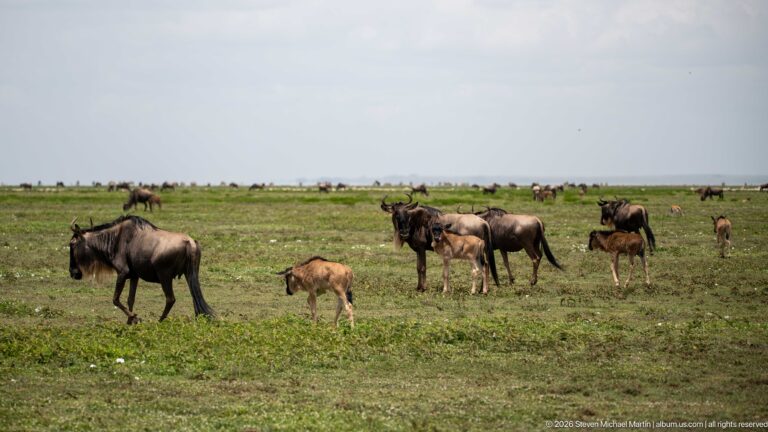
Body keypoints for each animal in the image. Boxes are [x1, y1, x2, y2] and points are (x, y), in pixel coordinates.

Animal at [68, 215, 215, 324]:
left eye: (72, 244)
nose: (73, 273)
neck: (115, 239)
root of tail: (190, 242)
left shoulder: (123, 273)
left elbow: (115, 299)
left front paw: (135, 318)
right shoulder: (134, 276)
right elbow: (130, 299)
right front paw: (129, 321)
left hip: (165, 276)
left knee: (170, 299)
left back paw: (159, 321)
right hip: (190, 274)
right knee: (195, 295)